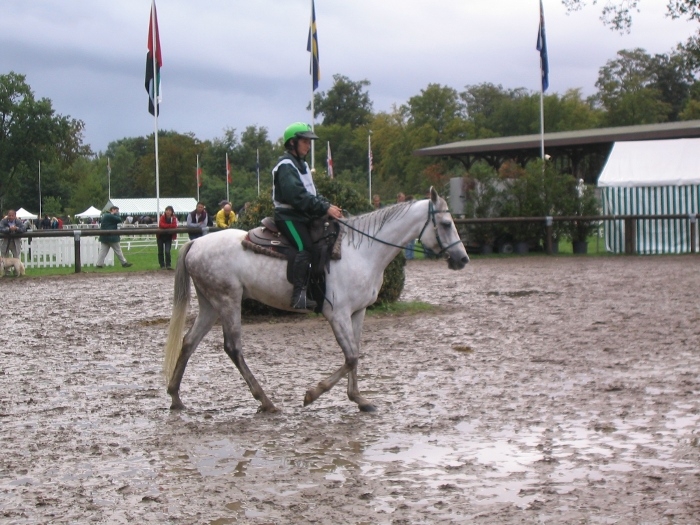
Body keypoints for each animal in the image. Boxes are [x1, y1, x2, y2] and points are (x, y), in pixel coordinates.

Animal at [163, 187, 469, 413]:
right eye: (445, 224)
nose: (462, 259)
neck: (361, 251)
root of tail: (196, 243)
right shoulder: (338, 314)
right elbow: (350, 356)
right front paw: (313, 394)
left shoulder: (358, 312)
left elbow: (355, 353)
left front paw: (359, 399)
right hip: (228, 300)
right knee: (232, 348)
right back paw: (266, 401)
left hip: (211, 304)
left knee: (189, 341)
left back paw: (176, 397)